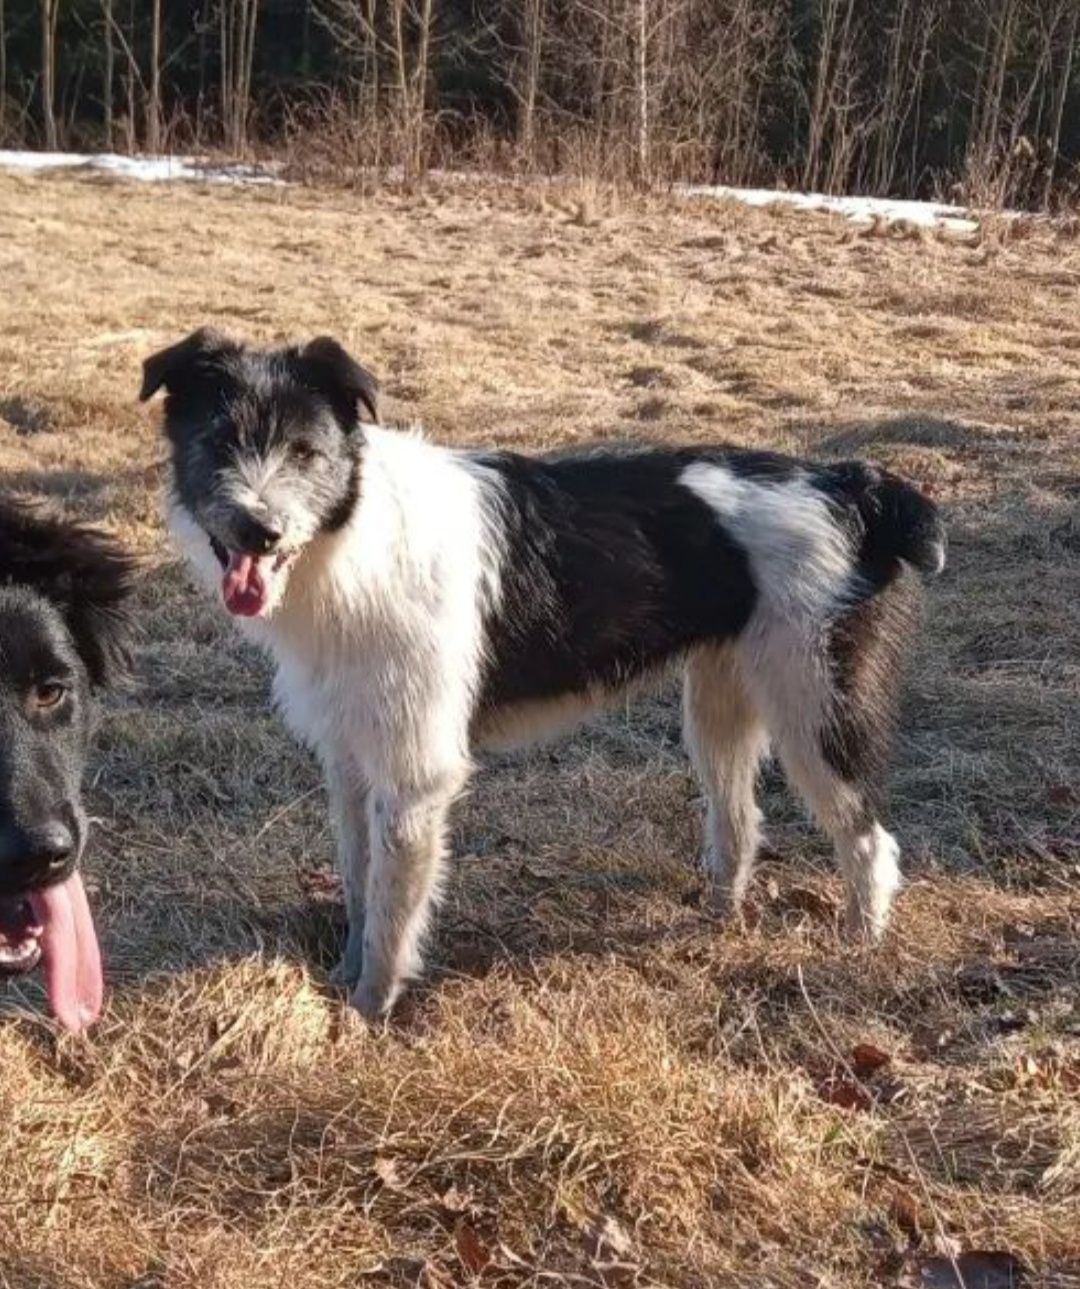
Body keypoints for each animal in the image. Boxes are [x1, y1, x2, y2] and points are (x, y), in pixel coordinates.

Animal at [143, 327, 948, 1020]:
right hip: (720, 705)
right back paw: (721, 916)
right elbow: (357, 881)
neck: (352, 536)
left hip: (816, 712)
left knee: (869, 841)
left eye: (306, 451)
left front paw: (368, 1013)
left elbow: (392, 910)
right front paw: (343, 978)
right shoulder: (350, 761)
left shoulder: (414, 776)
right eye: (219, 443)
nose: (260, 529)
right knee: (739, 820)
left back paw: (858, 945)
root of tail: (848, 485)